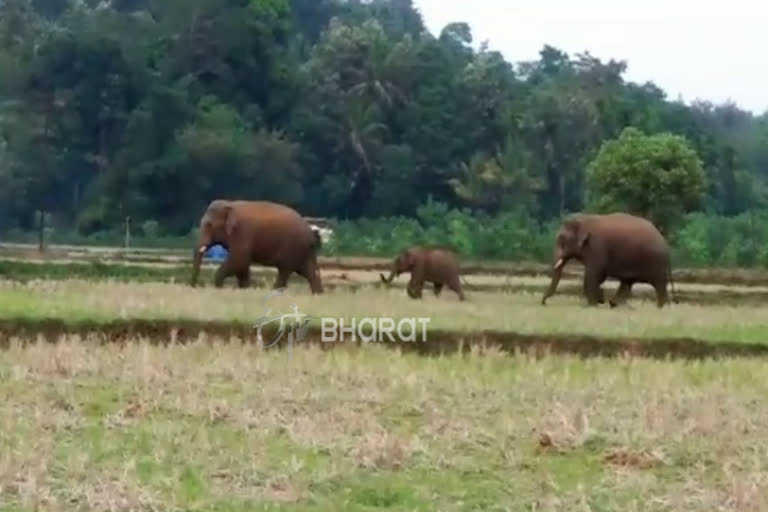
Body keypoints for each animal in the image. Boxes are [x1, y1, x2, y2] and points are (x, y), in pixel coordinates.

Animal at [192, 200, 324, 296]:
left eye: (209, 225)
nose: (194, 286)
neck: (229, 204)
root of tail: (311, 232)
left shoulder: (243, 232)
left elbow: (239, 260)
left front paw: (218, 288)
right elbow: (242, 265)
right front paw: (245, 289)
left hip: (294, 248)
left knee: (285, 271)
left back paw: (274, 293)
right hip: (304, 251)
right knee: (309, 272)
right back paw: (317, 295)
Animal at [540, 212, 680, 308]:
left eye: (561, 240)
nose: (543, 303)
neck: (585, 218)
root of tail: (666, 245)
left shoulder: (597, 247)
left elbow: (594, 274)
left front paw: (592, 305)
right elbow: (598, 277)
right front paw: (599, 300)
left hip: (656, 263)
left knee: (659, 284)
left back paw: (661, 307)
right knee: (627, 283)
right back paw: (615, 304)